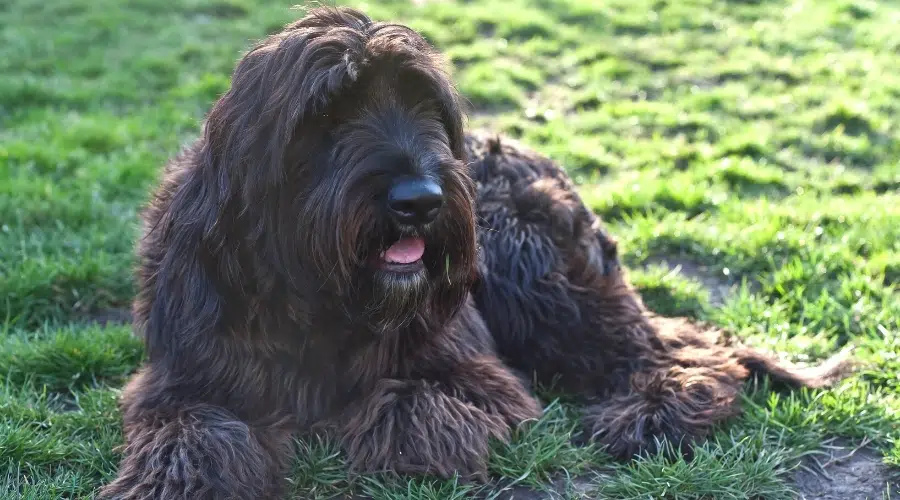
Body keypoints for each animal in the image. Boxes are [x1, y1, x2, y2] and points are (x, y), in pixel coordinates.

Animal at [98, 4, 852, 500]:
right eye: (328, 113)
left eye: (426, 107)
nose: (420, 201)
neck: (328, 300)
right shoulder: (184, 373)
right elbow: (192, 428)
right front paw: (178, 479)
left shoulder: (479, 376)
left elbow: (408, 405)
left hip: (532, 274)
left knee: (679, 351)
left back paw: (651, 412)